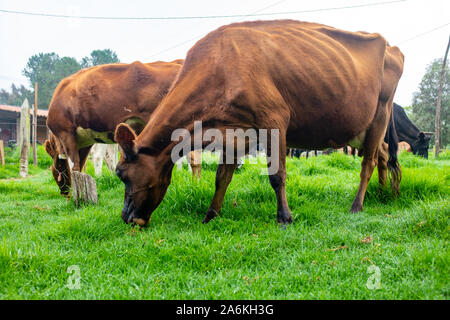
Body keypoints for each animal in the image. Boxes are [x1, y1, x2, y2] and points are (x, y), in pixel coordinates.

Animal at [45, 59, 200, 196]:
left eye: (54, 168)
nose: (63, 192)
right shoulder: (85, 142)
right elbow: (82, 168)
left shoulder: (66, 134)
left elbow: (75, 167)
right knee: (194, 157)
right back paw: (195, 185)